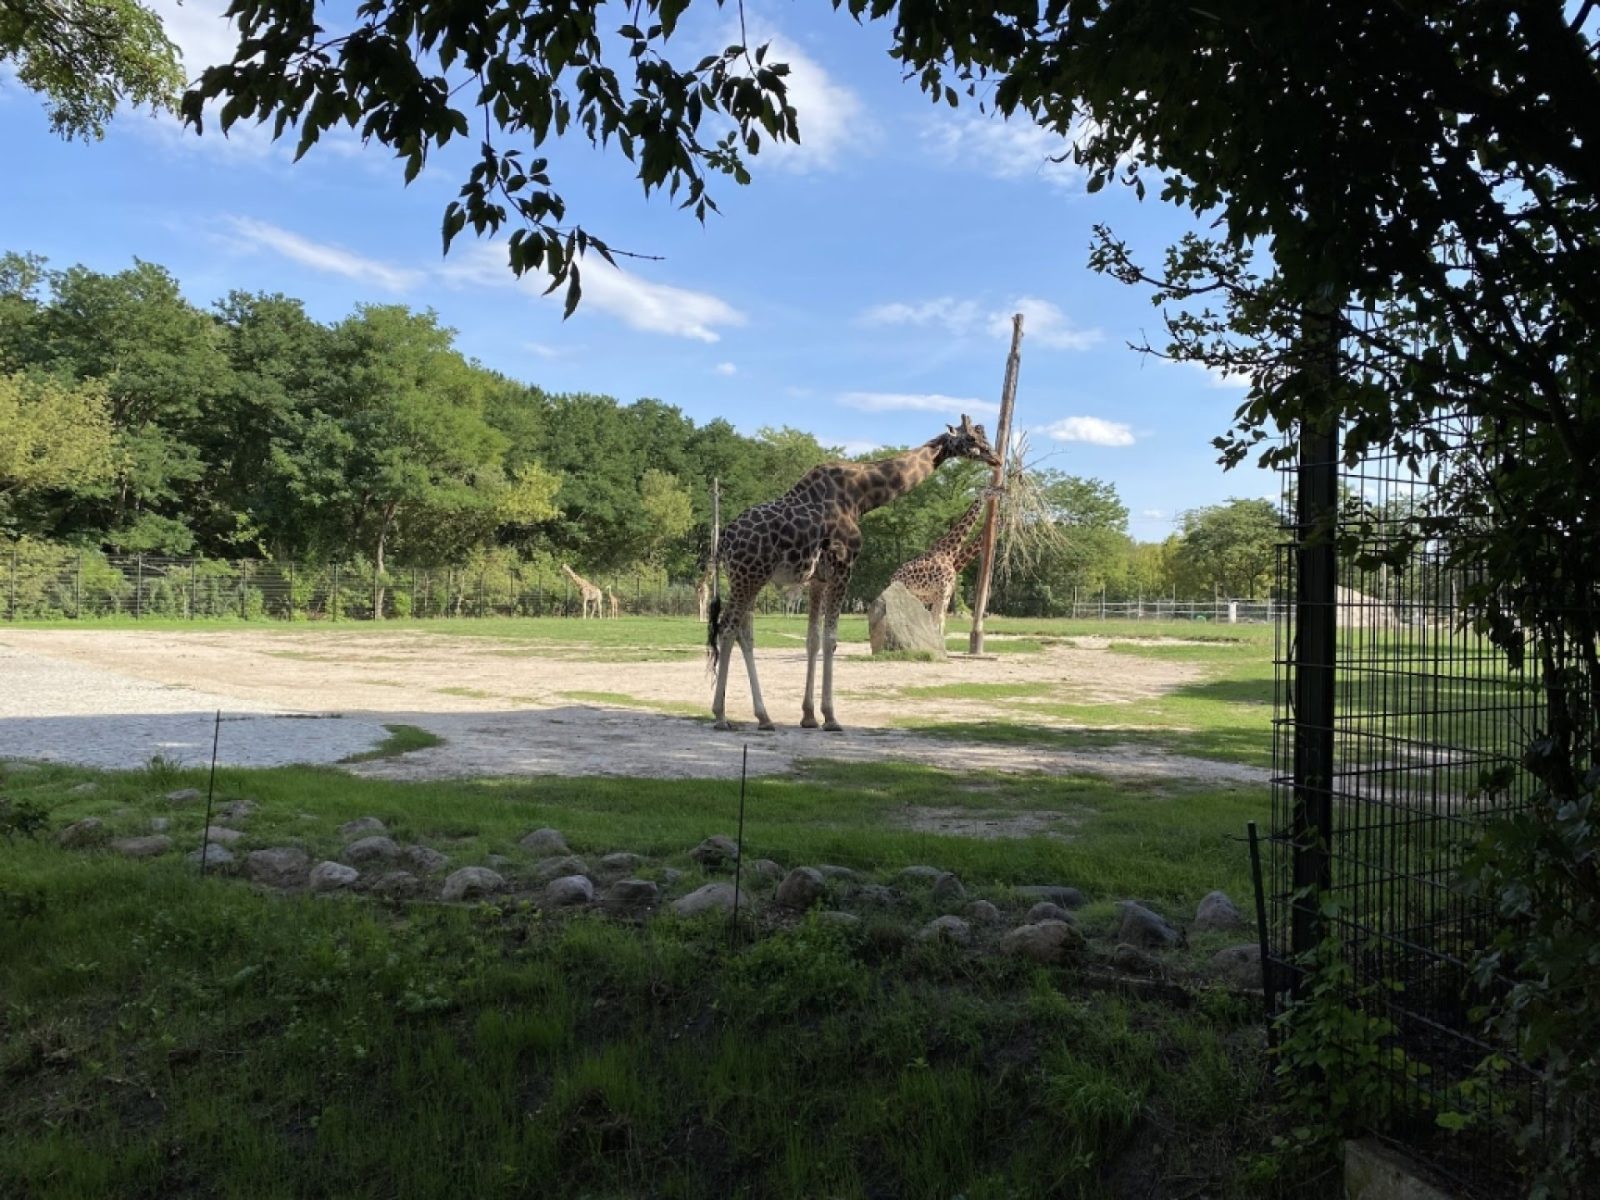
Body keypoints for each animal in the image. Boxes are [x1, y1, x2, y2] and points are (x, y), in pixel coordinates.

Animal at [889, 487, 1002, 636]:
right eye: (989, 490)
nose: (1000, 492)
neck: (950, 552)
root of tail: (892, 579)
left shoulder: (943, 594)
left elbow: (936, 620)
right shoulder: (943, 591)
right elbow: (939, 620)